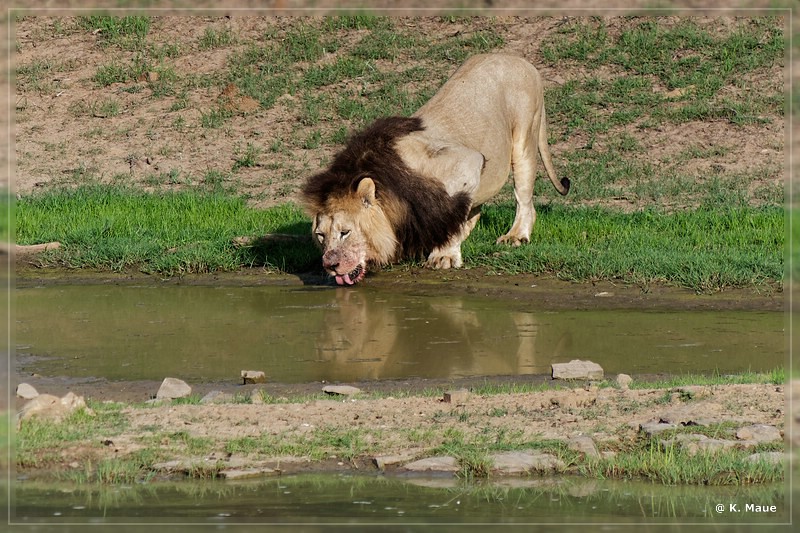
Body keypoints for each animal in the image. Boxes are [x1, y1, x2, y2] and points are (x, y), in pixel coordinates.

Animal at [300, 53, 568, 286]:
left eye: (345, 232)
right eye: (321, 235)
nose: (330, 265)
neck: (391, 193)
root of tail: (519, 59)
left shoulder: (468, 161)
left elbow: (452, 217)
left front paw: (444, 256)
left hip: (525, 138)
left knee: (524, 200)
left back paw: (516, 236)